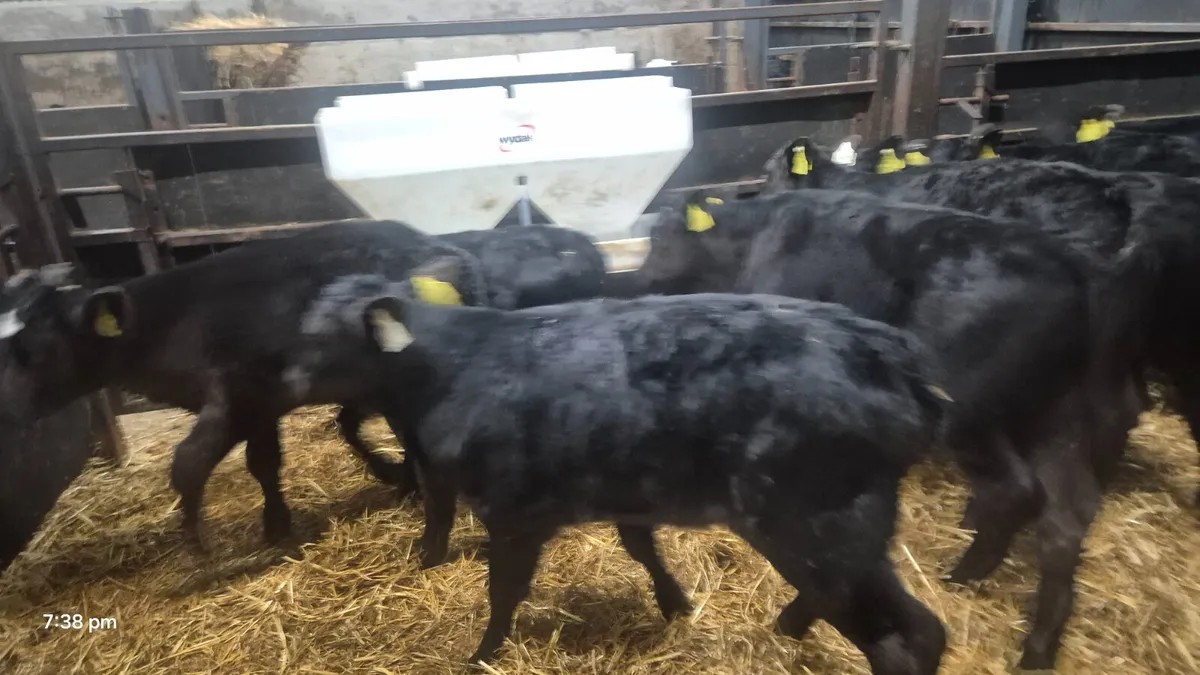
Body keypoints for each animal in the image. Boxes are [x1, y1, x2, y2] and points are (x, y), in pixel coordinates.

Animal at [0, 222, 492, 556]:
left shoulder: (241, 399)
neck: (175, 319)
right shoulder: (260, 407)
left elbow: (188, 464)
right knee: (360, 425)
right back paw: (399, 476)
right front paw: (275, 524)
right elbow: (262, 463)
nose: (9, 411)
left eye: (35, 350)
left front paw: (198, 543)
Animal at [290, 256, 950, 674]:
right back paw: (785, 626)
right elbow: (640, 548)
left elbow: (503, 591)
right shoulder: (623, 490)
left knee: (909, 637)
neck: (457, 365)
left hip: (819, 526)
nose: (286, 376)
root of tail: (891, 354)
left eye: (323, 337)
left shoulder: (515, 513)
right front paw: (675, 603)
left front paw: (481, 656)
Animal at [636, 188, 1137, 670]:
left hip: (969, 410)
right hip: (1058, 416)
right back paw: (1038, 647)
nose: (638, 278)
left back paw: (953, 578)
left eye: (661, 239)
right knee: (1066, 516)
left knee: (1013, 490)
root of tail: (1072, 262)